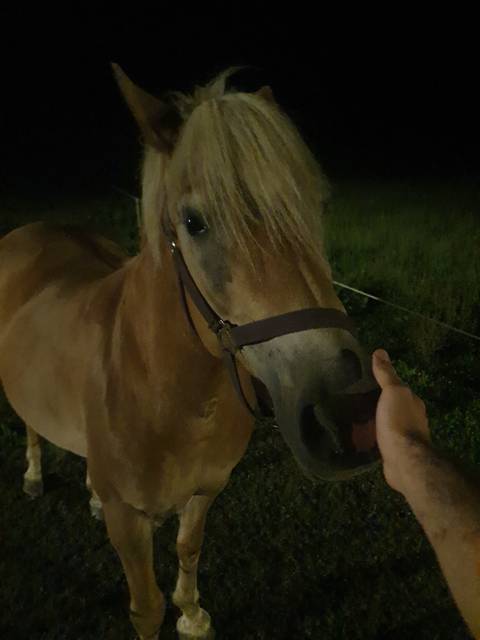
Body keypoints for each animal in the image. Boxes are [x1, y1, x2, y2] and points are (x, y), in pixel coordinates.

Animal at [0, 64, 380, 639]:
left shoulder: (205, 491)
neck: (169, 396)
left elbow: (189, 549)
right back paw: (32, 477)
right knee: (29, 425)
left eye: (318, 206)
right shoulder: (129, 522)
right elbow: (146, 606)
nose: (346, 413)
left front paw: (194, 616)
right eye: (194, 222)